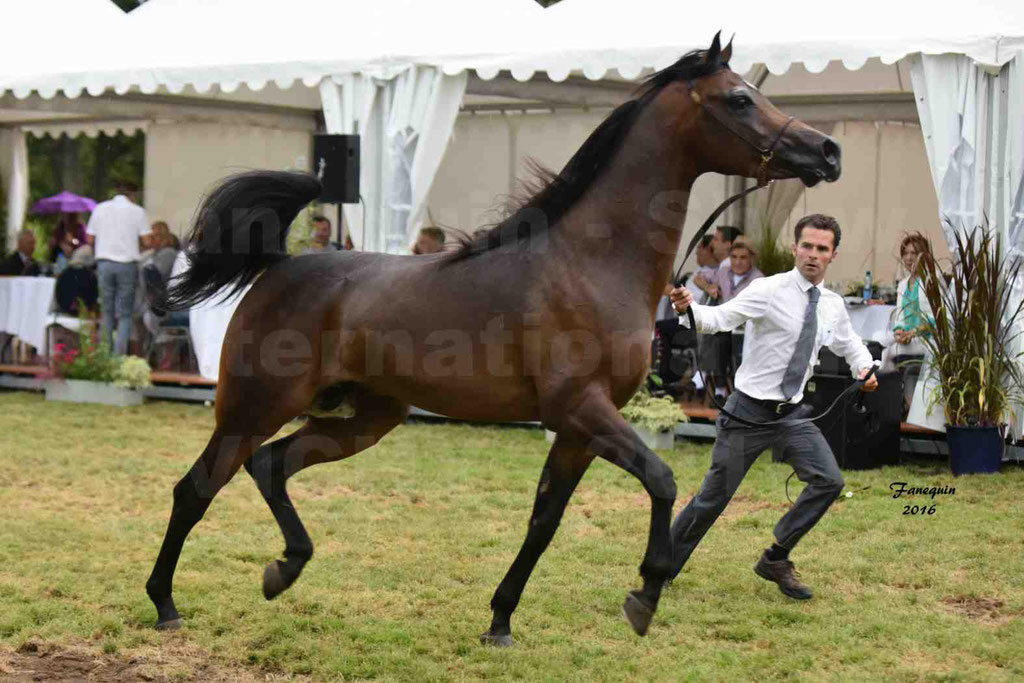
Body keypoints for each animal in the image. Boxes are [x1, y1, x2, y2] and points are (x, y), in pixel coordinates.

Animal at [148, 36, 843, 647]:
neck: (588, 263)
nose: (827, 151)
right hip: (255, 406)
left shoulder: (578, 428)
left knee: (272, 466)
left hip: (368, 416)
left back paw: (283, 569)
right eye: (739, 99)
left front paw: (501, 621)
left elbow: (544, 519)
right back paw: (166, 604)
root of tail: (279, 267)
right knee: (197, 488)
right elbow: (664, 480)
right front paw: (645, 594)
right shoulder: (581, 408)